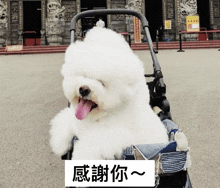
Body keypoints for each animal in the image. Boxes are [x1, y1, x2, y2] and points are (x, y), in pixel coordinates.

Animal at [49, 27, 168, 160]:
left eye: (102, 83)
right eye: (83, 75)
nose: (84, 89)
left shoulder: (112, 137)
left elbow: (89, 148)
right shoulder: (74, 120)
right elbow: (62, 123)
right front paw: (59, 145)